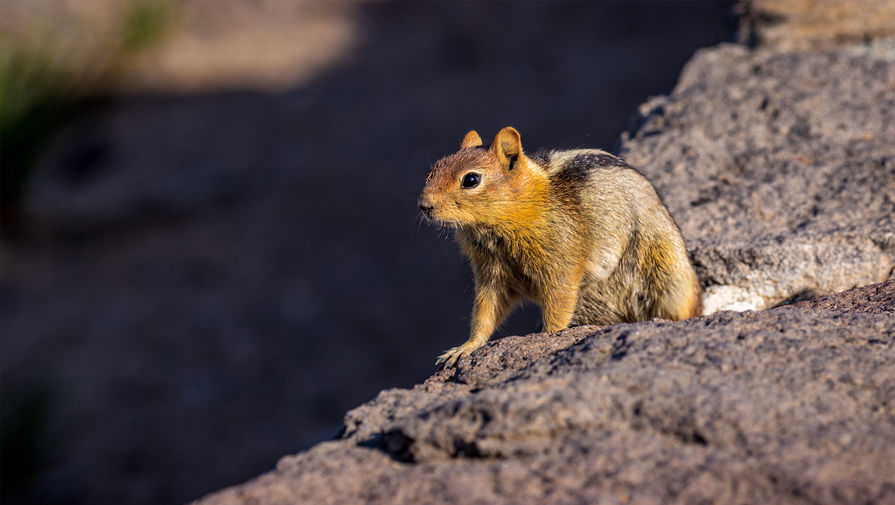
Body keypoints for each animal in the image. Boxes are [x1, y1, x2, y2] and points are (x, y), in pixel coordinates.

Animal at [416, 127, 704, 366]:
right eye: (432, 171)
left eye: (471, 180)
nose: (424, 205)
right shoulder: (491, 272)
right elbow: (486, 311)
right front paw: (464, 348)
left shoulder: (560, 260)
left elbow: (559, 302)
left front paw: (548, 338)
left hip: (668, 279)